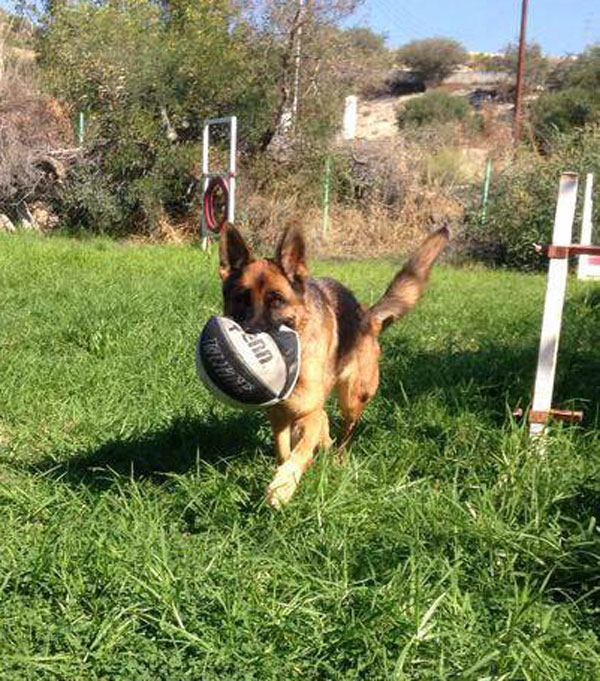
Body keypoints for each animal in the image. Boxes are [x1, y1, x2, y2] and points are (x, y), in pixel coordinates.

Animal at [218, 223, 448, 504]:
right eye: (240, 299)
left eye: (277, 301)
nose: (249, 336)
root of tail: (368, 317)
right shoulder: (278, 416)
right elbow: (284, 451)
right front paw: (284, 474)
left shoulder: (307, 413)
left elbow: (298, 453)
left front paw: (283, 485)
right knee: (325, 424)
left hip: (353, 399)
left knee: (343, 436)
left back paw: (336, 458)